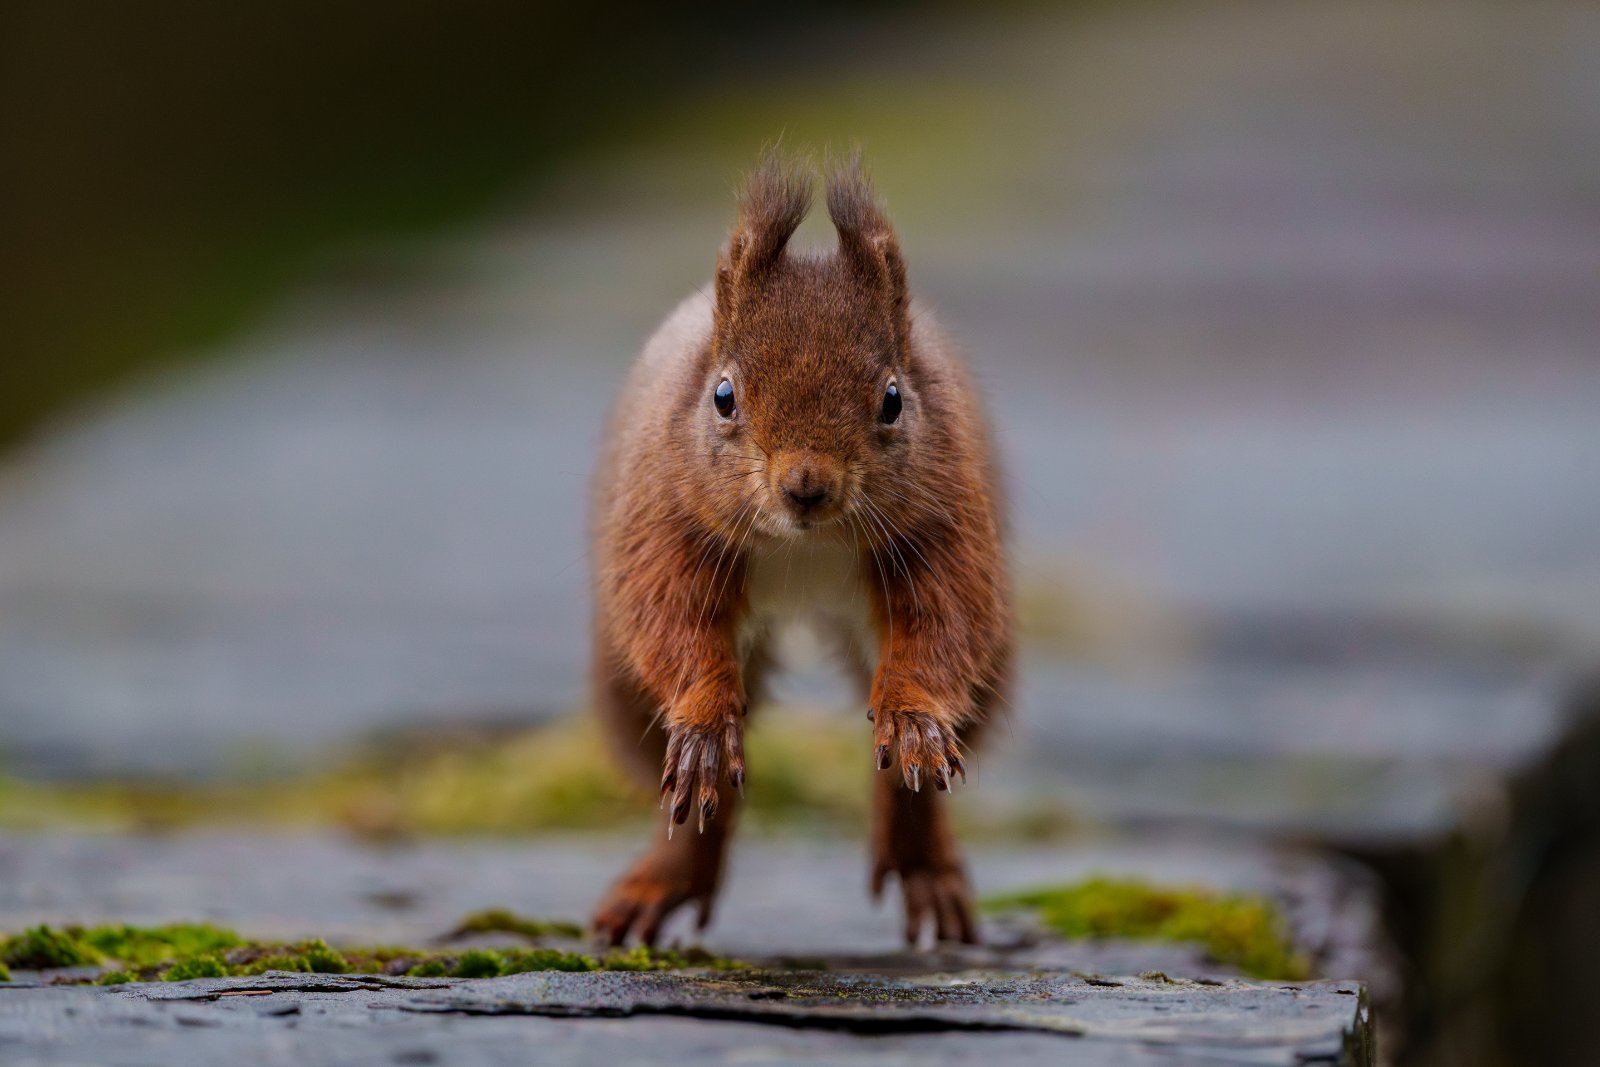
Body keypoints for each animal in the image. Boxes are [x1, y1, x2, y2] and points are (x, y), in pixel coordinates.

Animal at [588, 150, 1012, 948]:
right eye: (723, 395)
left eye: (893, 399)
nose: (805, 486)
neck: (804, 550)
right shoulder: (666, 525)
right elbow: (670, 623)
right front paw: (702, 720)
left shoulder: (943, 529)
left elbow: (945, 626)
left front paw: (913, 714)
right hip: (624, 695)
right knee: (700, 792)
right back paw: (668, 873)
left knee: (910, 776)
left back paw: (923, 861)